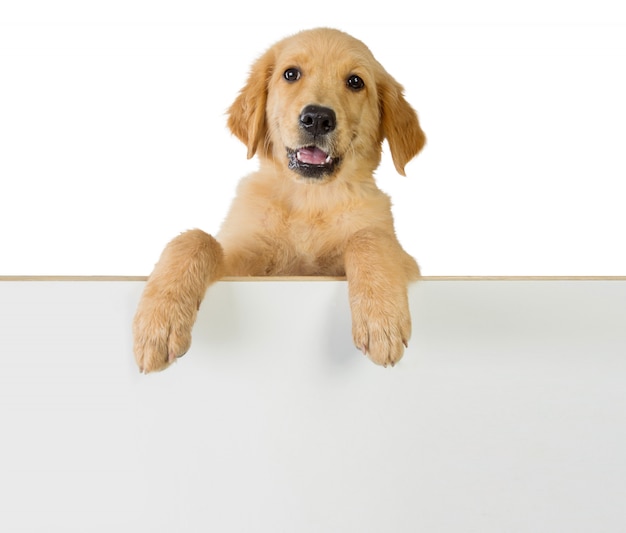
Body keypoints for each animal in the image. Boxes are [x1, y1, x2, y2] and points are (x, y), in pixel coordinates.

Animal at [132, 27, 424, 372]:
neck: (309, 200)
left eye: (355, 81)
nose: (317, 118)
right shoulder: (241, 267)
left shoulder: (405, 260)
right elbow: (196, 239)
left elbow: (368, 238)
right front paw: (158, 324)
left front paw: (381, 323)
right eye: (291, 74)